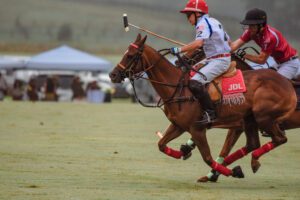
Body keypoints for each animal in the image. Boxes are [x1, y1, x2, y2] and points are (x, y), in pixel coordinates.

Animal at [109, 34, 296, 181]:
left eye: (130, 55)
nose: (113, 74)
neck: (178, 87)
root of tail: (287, 84)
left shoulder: (197, 129)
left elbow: (207, 157)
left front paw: (232, 172)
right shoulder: (178, 125)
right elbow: (161, 144)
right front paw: (184, 151)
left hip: (263, 117)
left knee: (280, 139)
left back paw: (250, 162)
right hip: (250, 120)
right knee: (254, 143)